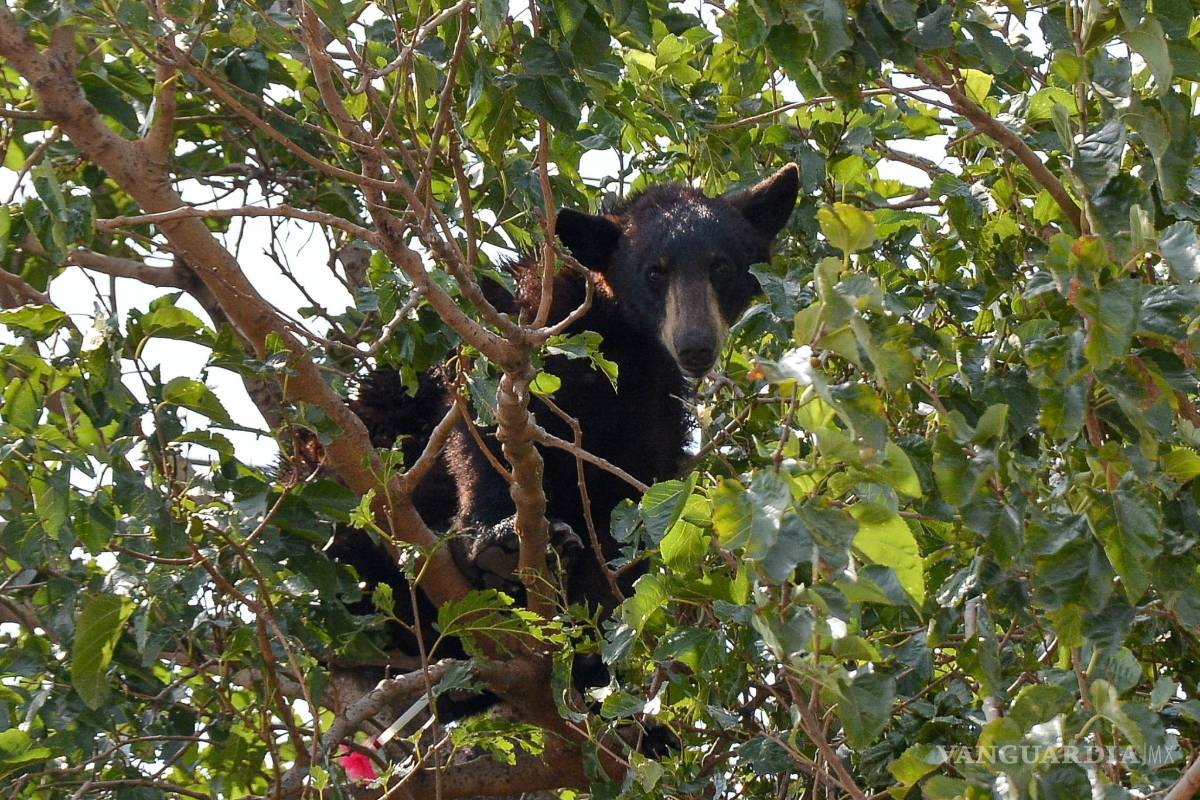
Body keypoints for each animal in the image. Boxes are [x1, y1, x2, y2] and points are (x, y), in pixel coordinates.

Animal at [326, 163, 801, 705]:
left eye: (722, 267)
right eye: (654, 272)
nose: (695, 344)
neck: (624, 345)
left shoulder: (655, 413)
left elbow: (630, 505)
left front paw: (592, 625)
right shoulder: (528, 329)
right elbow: (476, 428)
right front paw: (497, 540)